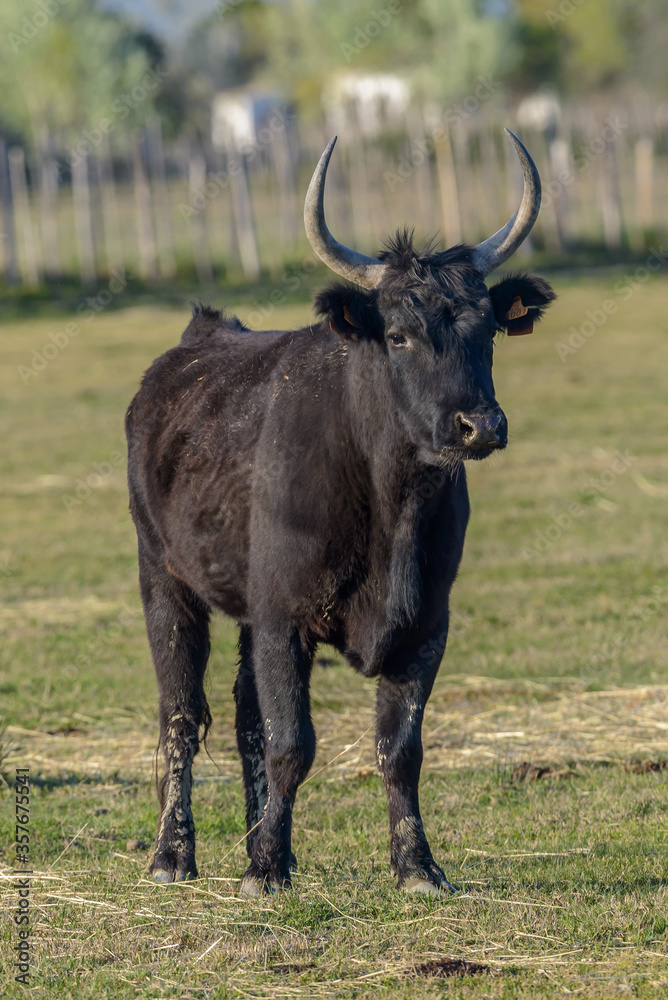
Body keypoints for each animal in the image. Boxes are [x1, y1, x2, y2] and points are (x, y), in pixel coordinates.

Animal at [124, 131, 552, 892]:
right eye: (401, 335)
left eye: (488, 333)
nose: (480, 425)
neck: (392, 509)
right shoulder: (282, 618)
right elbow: (293, 743)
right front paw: (264, 869)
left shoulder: (426, 625)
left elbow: (399, 749)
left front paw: (416, 865)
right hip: (164, 578)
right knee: (180, 713)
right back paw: (173, 855)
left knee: (244, 714)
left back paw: (256, 838)